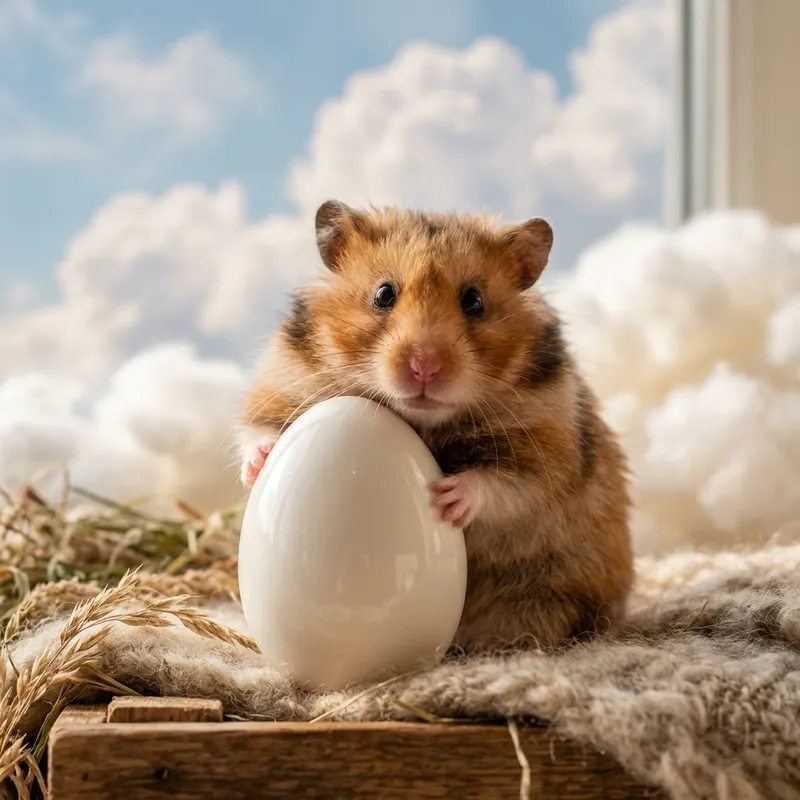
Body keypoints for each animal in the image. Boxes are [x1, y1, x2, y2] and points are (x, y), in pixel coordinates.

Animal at [236, 200, 634, 653]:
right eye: (384, 294)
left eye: (474, 300)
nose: (424, 365)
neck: (425, 422)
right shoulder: (282, 382)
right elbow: (257, 428)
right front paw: (260, 464)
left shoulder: (548, 449)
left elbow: (507, 482)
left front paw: (445, 497)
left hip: (549, 599)